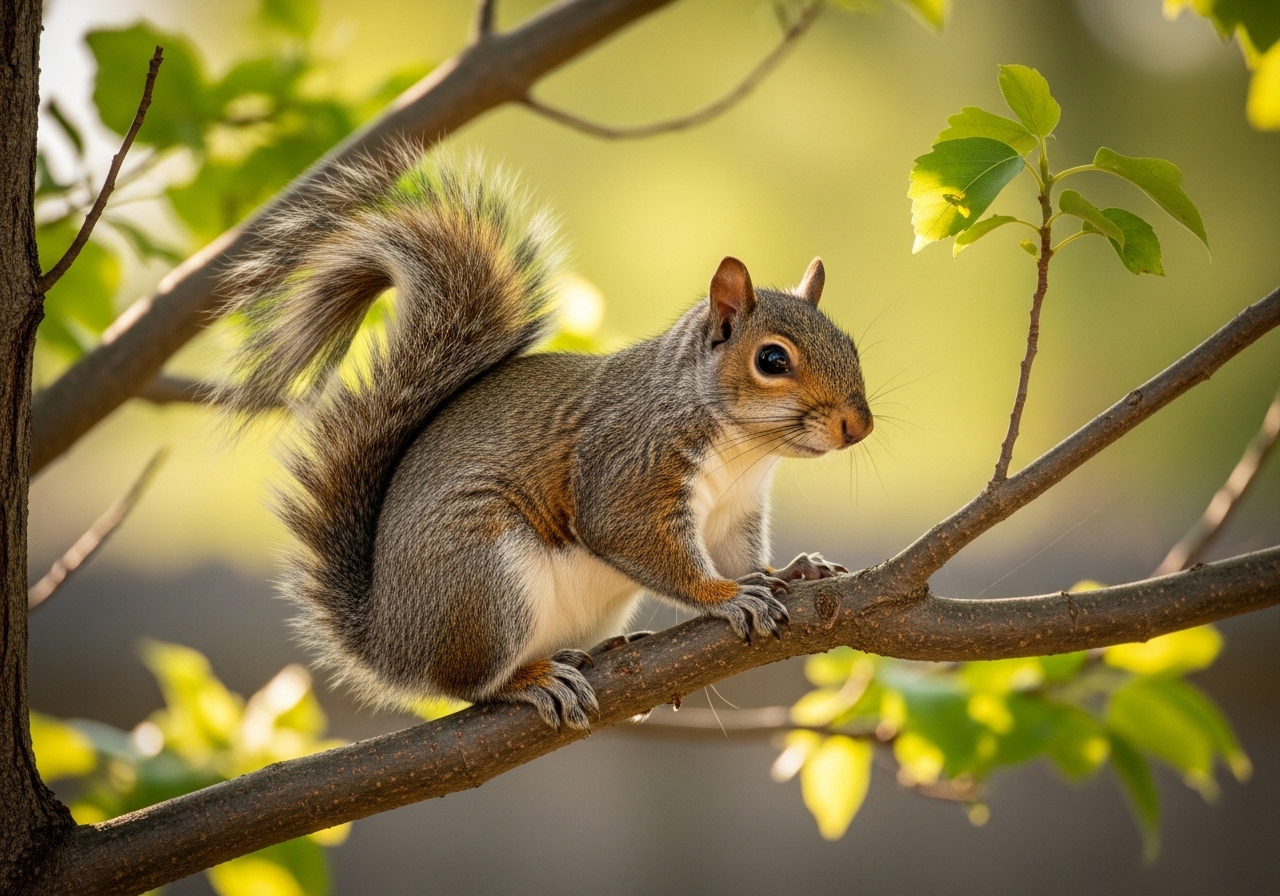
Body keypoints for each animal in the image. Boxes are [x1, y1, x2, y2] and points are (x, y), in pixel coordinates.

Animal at [221, 150, 873, 731]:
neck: (742, 449)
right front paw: (725, 594)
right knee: (469, 686)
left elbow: (745, 556)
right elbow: (632, 534)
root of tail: (392, 641)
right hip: (484, 583)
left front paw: (793, 572)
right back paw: (529, 679)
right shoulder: (628, 465)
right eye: (772, 360)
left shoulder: (734, 512)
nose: (859, 425)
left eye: (851, 344)